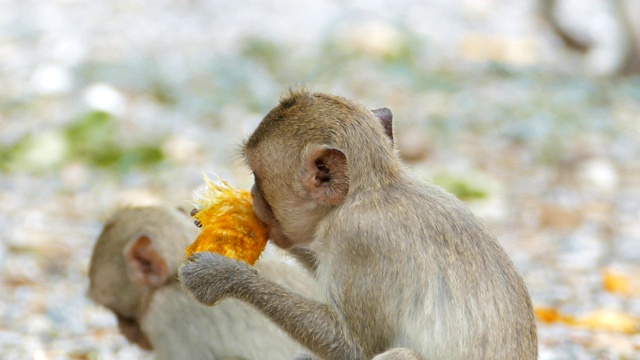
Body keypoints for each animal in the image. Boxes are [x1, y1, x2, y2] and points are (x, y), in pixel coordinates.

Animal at [178, 88, 536, 360]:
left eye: (257, 177)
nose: (253, 197)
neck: (370, 191)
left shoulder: (360, 239)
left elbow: (355, 347)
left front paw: (223, 275)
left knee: (400, 355)